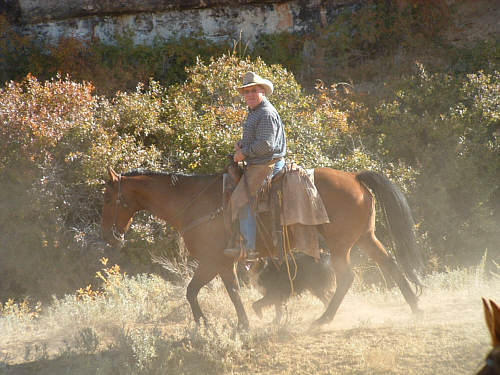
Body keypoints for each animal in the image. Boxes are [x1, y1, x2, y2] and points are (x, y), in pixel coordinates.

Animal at [103, 165, 424, 328]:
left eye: (108, 198)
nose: (110, 236)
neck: (194, 203)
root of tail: (356, 179)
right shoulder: (224, 263)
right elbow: (233, 292)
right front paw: (243, 324)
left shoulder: (211, 261)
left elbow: (192, 291)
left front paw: (204, 324)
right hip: (365, 238)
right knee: (390, 265)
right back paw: (414, 306)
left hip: (341, 244)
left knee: (347, 277)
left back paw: (324, 318)